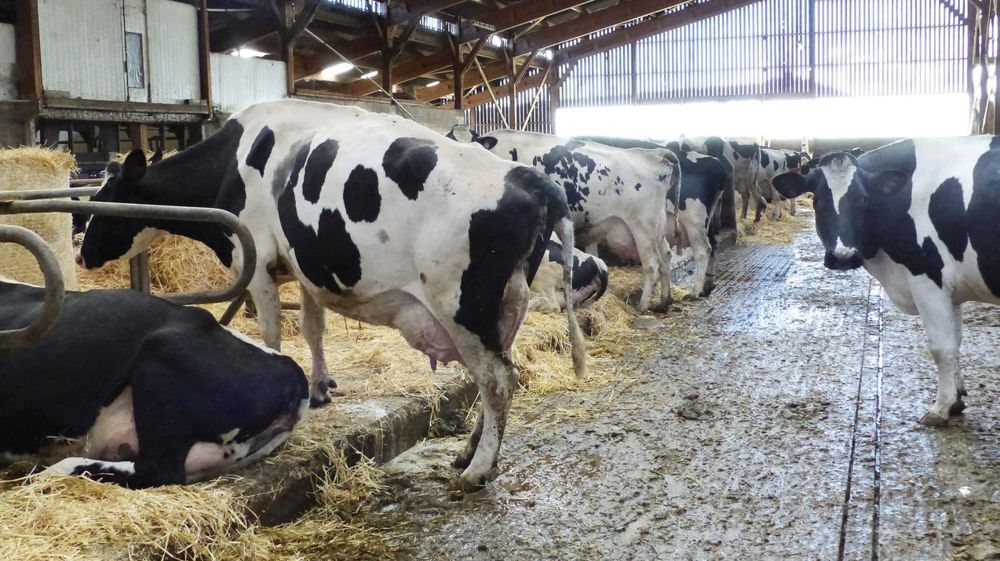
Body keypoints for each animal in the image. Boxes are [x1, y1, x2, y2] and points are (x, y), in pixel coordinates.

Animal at [77, 99, 585, 487]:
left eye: (102, 201)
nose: (81, 256)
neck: (233, 163)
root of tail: (527, 177)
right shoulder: (303, 270)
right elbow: (312, 327)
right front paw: (321, 387)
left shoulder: (258, 264)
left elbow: (273, 332)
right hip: (508, 304)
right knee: (497, 374)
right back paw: (469, 450)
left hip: (463, 304)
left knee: (496, 379)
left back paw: (477, 469)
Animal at [456, 129, 682, 312]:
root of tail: (656, 155)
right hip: (657, 227)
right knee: (666, 257)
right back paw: (664, 301)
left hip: (642, 226)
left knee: (652, 264)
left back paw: (643, 305)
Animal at [574, 136, 727, 297]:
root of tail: (716, 163)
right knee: (714, 244)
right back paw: (707, 285)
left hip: (694, 222)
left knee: (703, 249)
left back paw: (694, 292)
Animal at [771, 136, 1000, 426]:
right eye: (818, 201)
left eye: (862, 200)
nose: (843, 257)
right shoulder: (951, 288)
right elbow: (956, 341)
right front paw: (957, 398)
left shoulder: (927, 278)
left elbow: (941, 346)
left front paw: (941, 408)